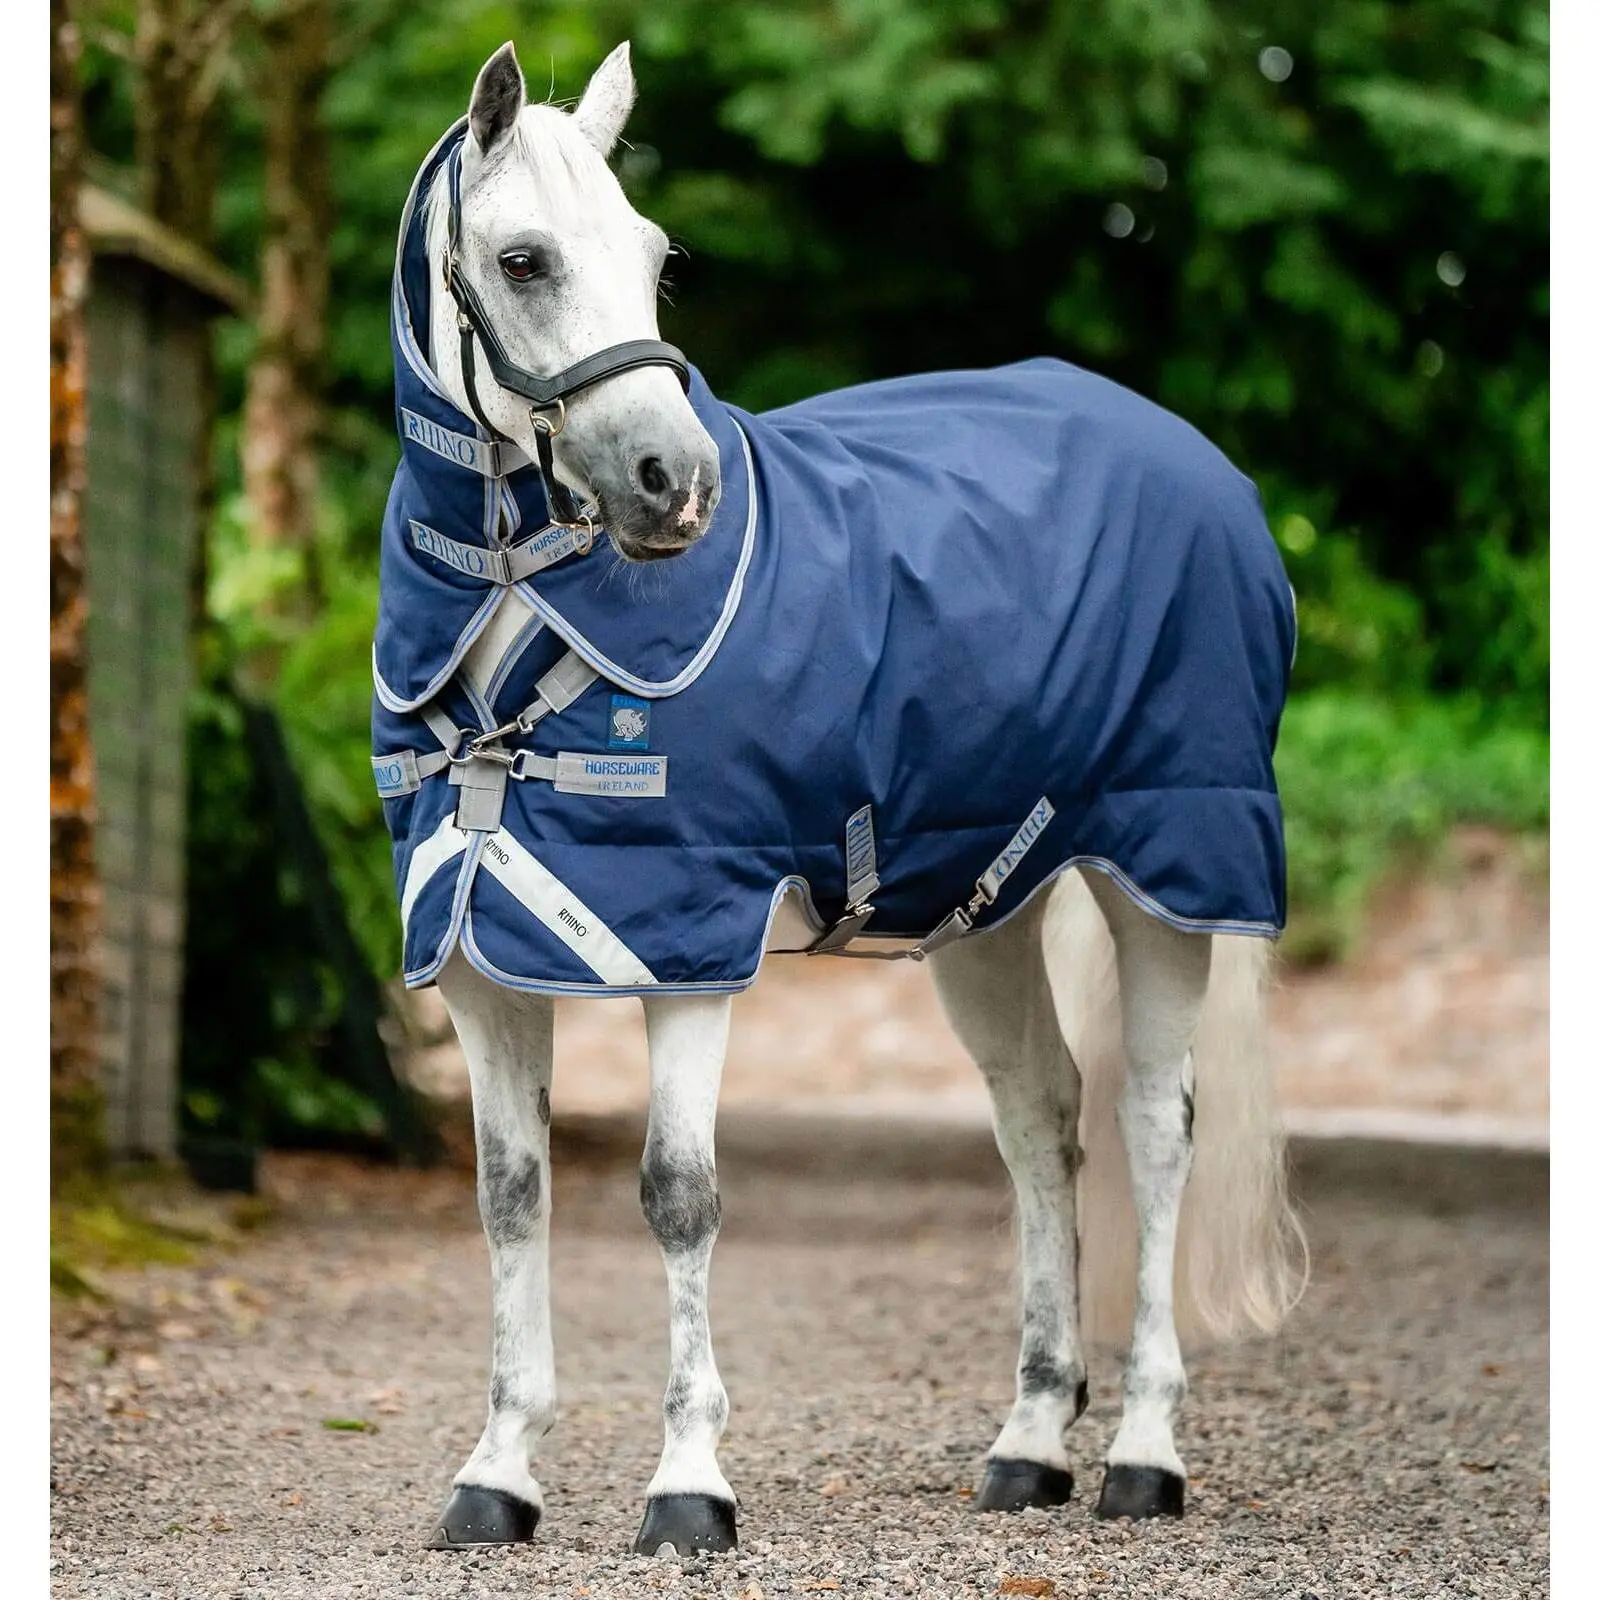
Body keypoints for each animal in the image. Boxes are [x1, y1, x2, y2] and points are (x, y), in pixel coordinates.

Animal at [371, 39, 1306, 1558]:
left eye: (653, 256)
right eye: (521, 259)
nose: (673, 486)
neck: (522, 612)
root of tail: (1203, 467)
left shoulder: (687, 942)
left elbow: (677, 1195)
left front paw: (689, 1485)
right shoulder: (474, 957)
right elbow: (511, 1199)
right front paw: (497, 1473)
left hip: (1171, 872)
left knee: (1156, 1130)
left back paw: (1144, 1455)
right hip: (990, 908)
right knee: (1040, 1122)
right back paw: (1029, 1442)